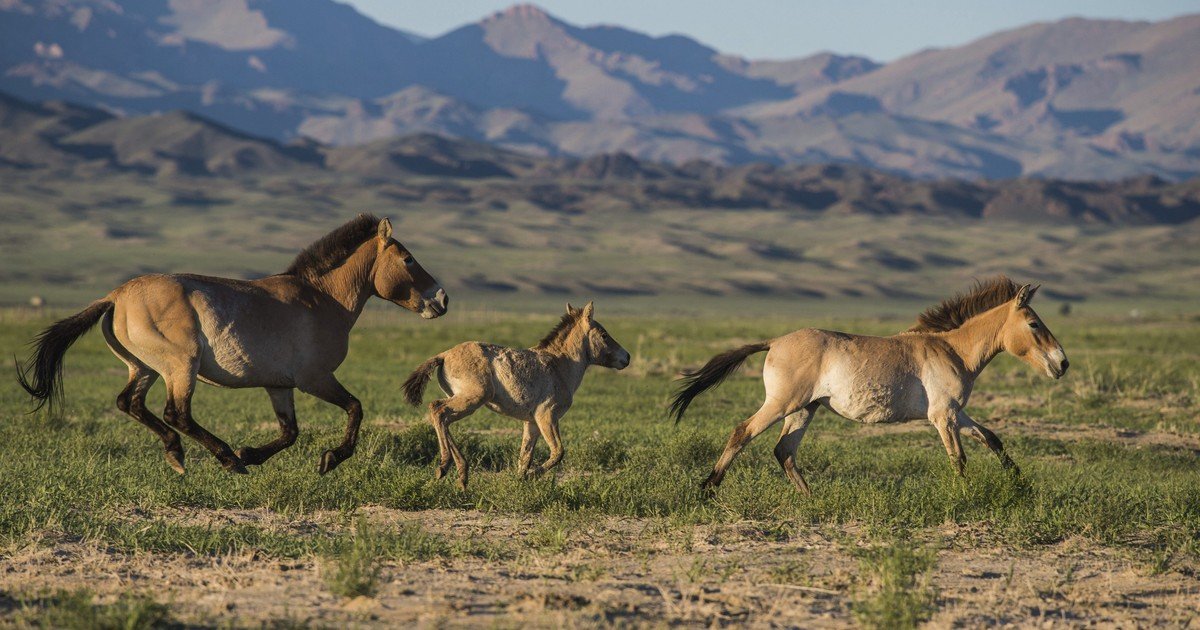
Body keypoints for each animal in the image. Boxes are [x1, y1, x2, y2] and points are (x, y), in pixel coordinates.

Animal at [17, 213, 448, 476]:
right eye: (408, 260)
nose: (442, 299)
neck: (322, 299)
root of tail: (115, 296)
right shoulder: (315, 379)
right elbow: (355, 408)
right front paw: (329, 459)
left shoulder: (279, 385)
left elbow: (290, 432)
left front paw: (252, 454)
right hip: (180, 366)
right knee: (176, 413)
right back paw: (223, 457)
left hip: (144, 367)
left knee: (131, 403)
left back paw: (179, 455)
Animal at [401, 301, 630, 489]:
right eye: (604, 335)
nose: (626, 357)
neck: (559, 365)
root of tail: (444, 355)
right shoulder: (547, 416)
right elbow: (557, 452)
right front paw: (531, 476)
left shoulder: (532, 423)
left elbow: (525, 457)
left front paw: (519, 482)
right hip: (471, 400)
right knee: (437, 410)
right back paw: (443, 467)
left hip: (463, 401)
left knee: (444, 419)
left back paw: (462, 476)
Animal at [669, 276, 1068, 495]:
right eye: (1033, 324)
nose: (1062, 363)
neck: (952, 349)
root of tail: (774, 342)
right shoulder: (943, 417)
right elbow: (959, 458)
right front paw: (966, 496)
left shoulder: (956, 413)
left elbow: (992, 439)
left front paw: (1022, 485)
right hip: (782, 404)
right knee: (742, 432)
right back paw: (708, 489)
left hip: (804, 409)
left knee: (784, 451)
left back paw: (812, 499)